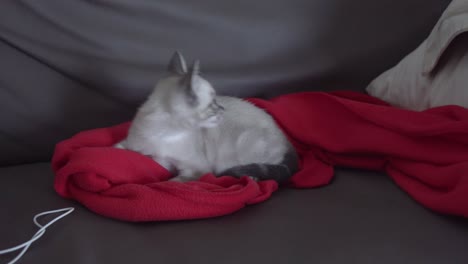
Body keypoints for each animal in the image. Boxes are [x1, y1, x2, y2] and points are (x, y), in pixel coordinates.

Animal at [116, 52, 300, 184]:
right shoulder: (144, 151)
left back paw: (251, 177)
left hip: (239, 148)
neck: (165, 134)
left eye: (216, 100)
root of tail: (286, 139)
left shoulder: (194, 168)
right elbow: (121, 149)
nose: (223, 109)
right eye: (213, 104)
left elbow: (172, 182)